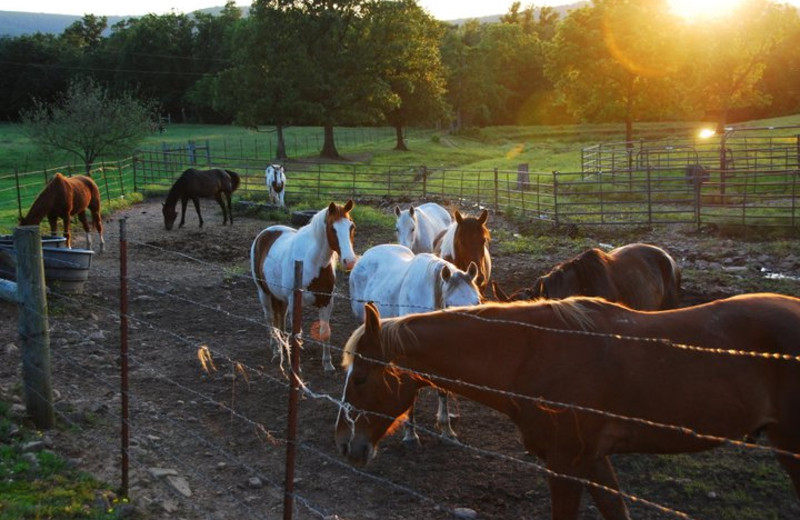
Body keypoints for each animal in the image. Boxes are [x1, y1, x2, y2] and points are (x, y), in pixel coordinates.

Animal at [252, 198, 358, 370]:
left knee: (280, 321)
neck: (312, 262)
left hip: (280, 298)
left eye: (351, 226)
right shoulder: (295, 302)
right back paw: (276, 351)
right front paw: (296, 367)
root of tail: (266, 232)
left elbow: (325, 331)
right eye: (332, 228)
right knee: (270, 320)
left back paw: (283, 348)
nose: (349, 261)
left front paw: (327, 364)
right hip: (264, 293)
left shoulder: (326, 301)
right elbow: (297, 333)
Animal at [346, 244, 478, 442]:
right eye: (449, 304)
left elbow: (442, 391)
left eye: (477, 302)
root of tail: (365, 255)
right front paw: (410, 433)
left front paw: (446, 429)